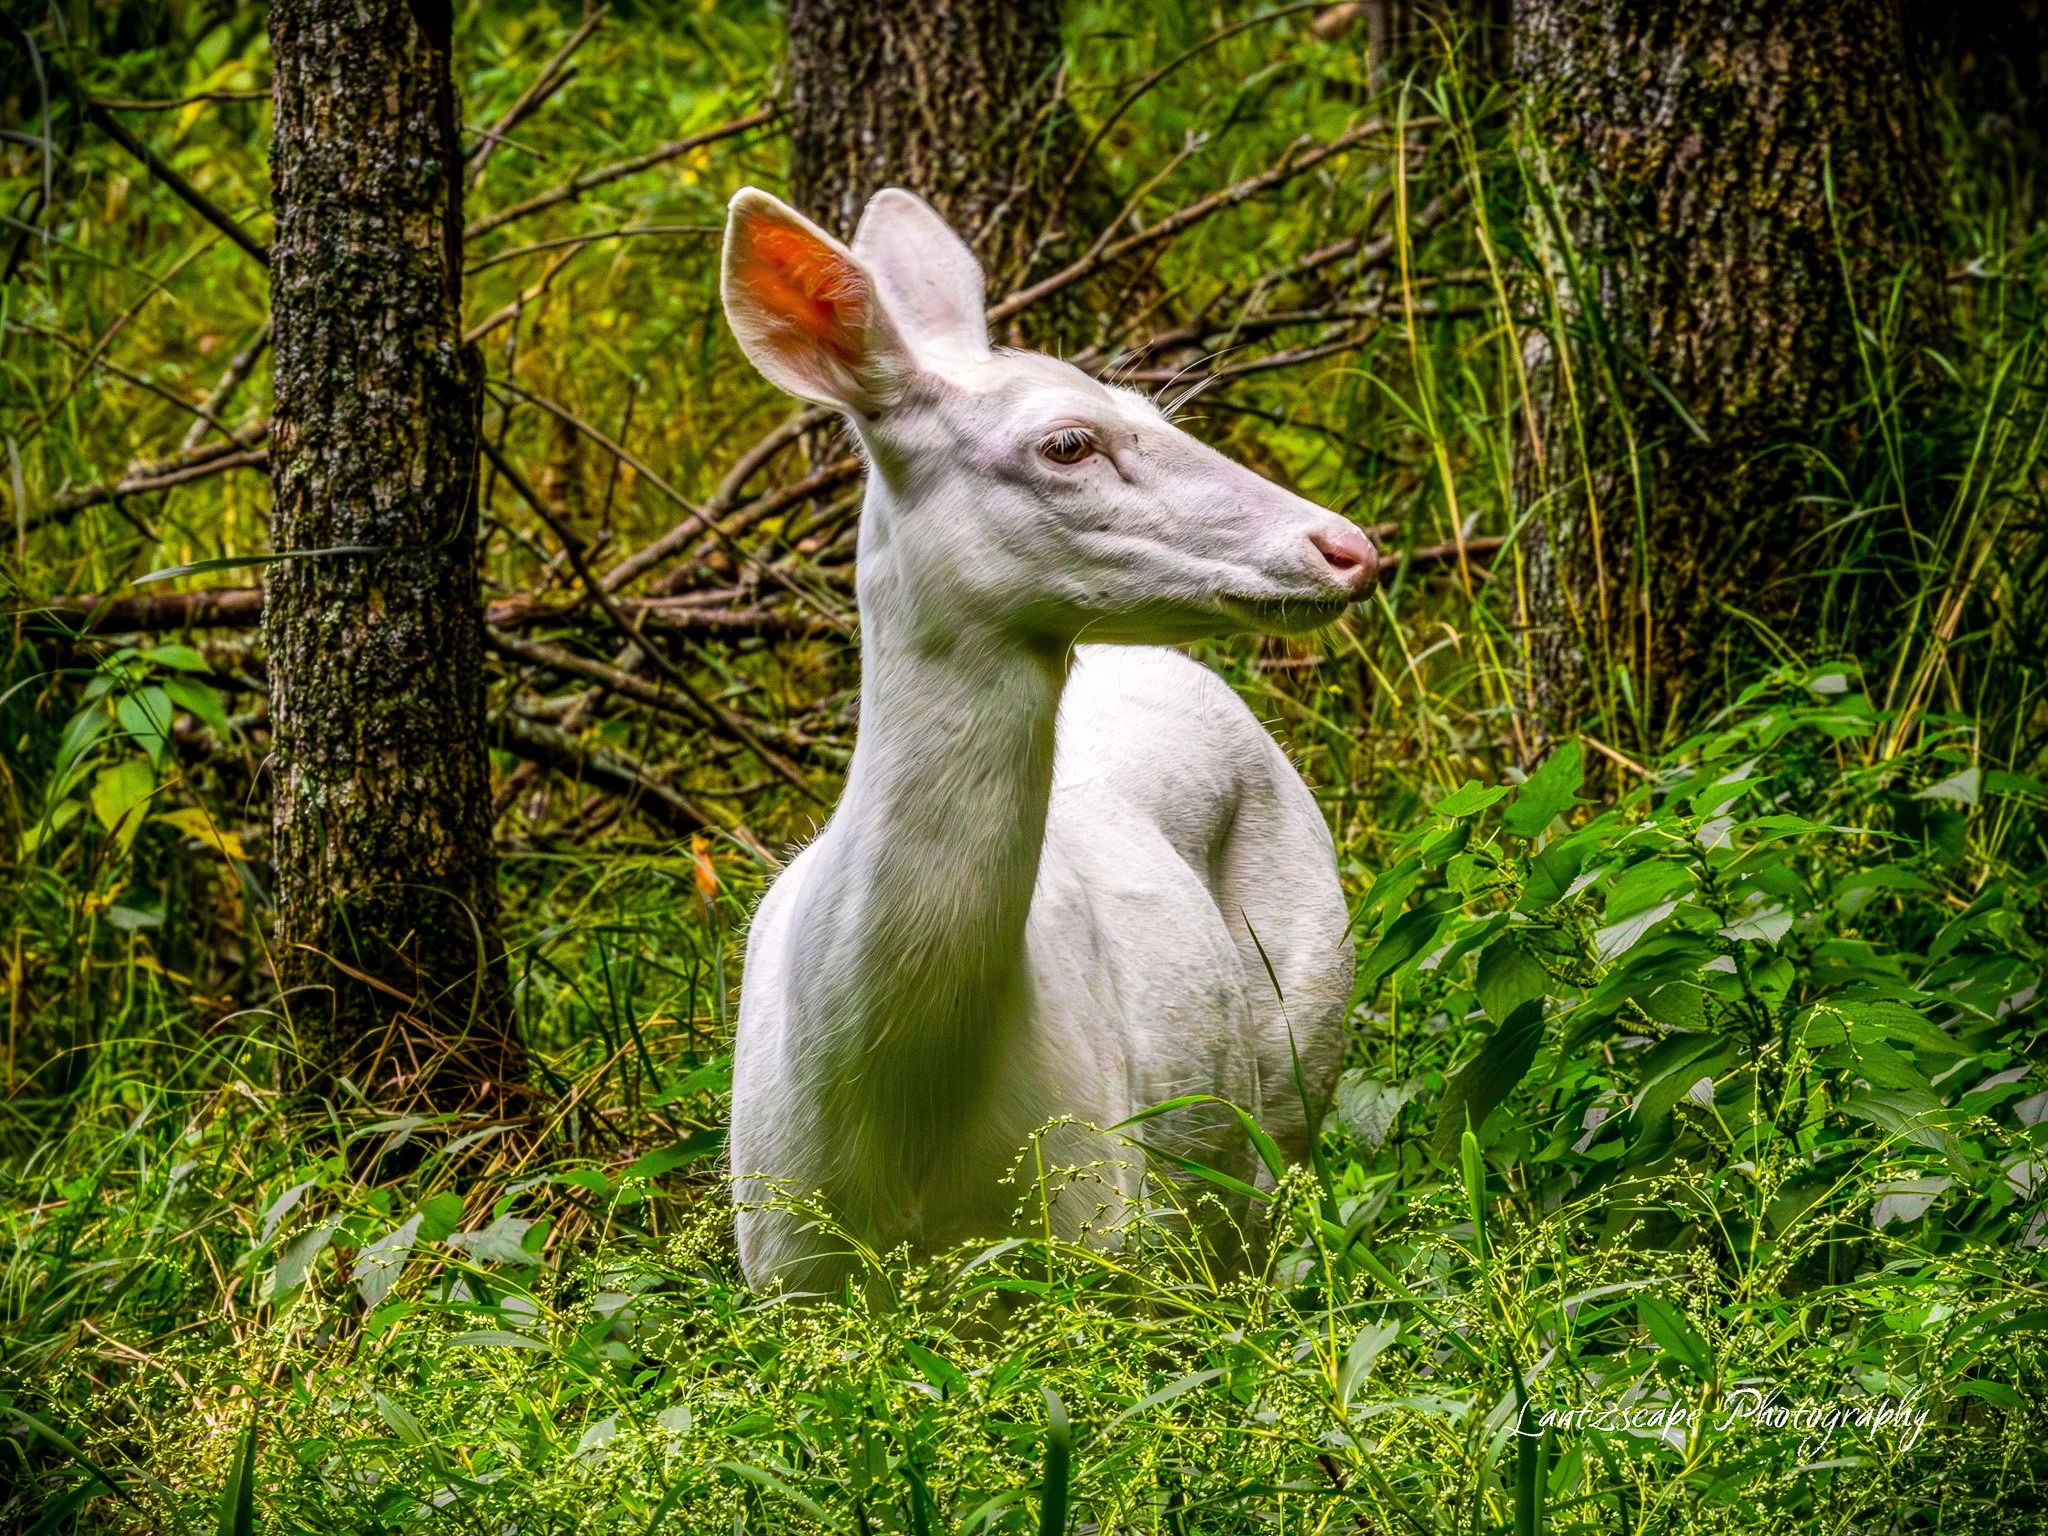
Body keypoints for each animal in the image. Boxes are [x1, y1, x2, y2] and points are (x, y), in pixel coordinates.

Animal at [720, 186, 1379, 1293]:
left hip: (1298, 1047)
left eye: (1155, 408)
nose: (1347, 547)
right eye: (1067, 443)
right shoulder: (785, 1267)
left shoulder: (1104, 1238)